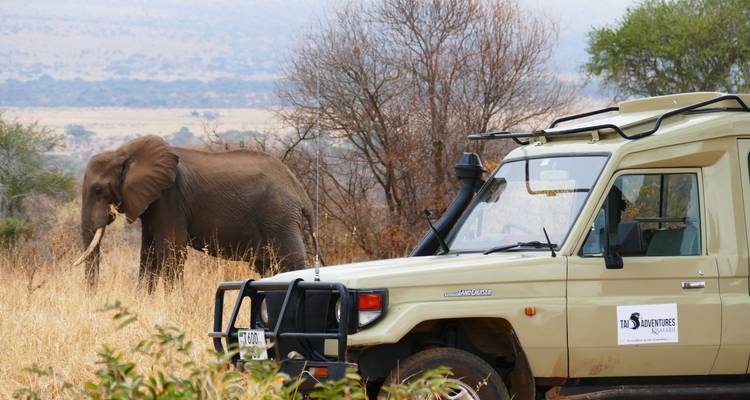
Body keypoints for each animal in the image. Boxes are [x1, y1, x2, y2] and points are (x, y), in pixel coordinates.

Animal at [74, 135, 316, 292]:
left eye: (98, 190)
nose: (91, 296)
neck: (123, 153)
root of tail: (301, 192)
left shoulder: (170, 197)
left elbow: (172, 249)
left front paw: (172, 301)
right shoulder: (152, 200)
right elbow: (148, 252)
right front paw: (144, 300)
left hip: (280, 217)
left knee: (291, 262)